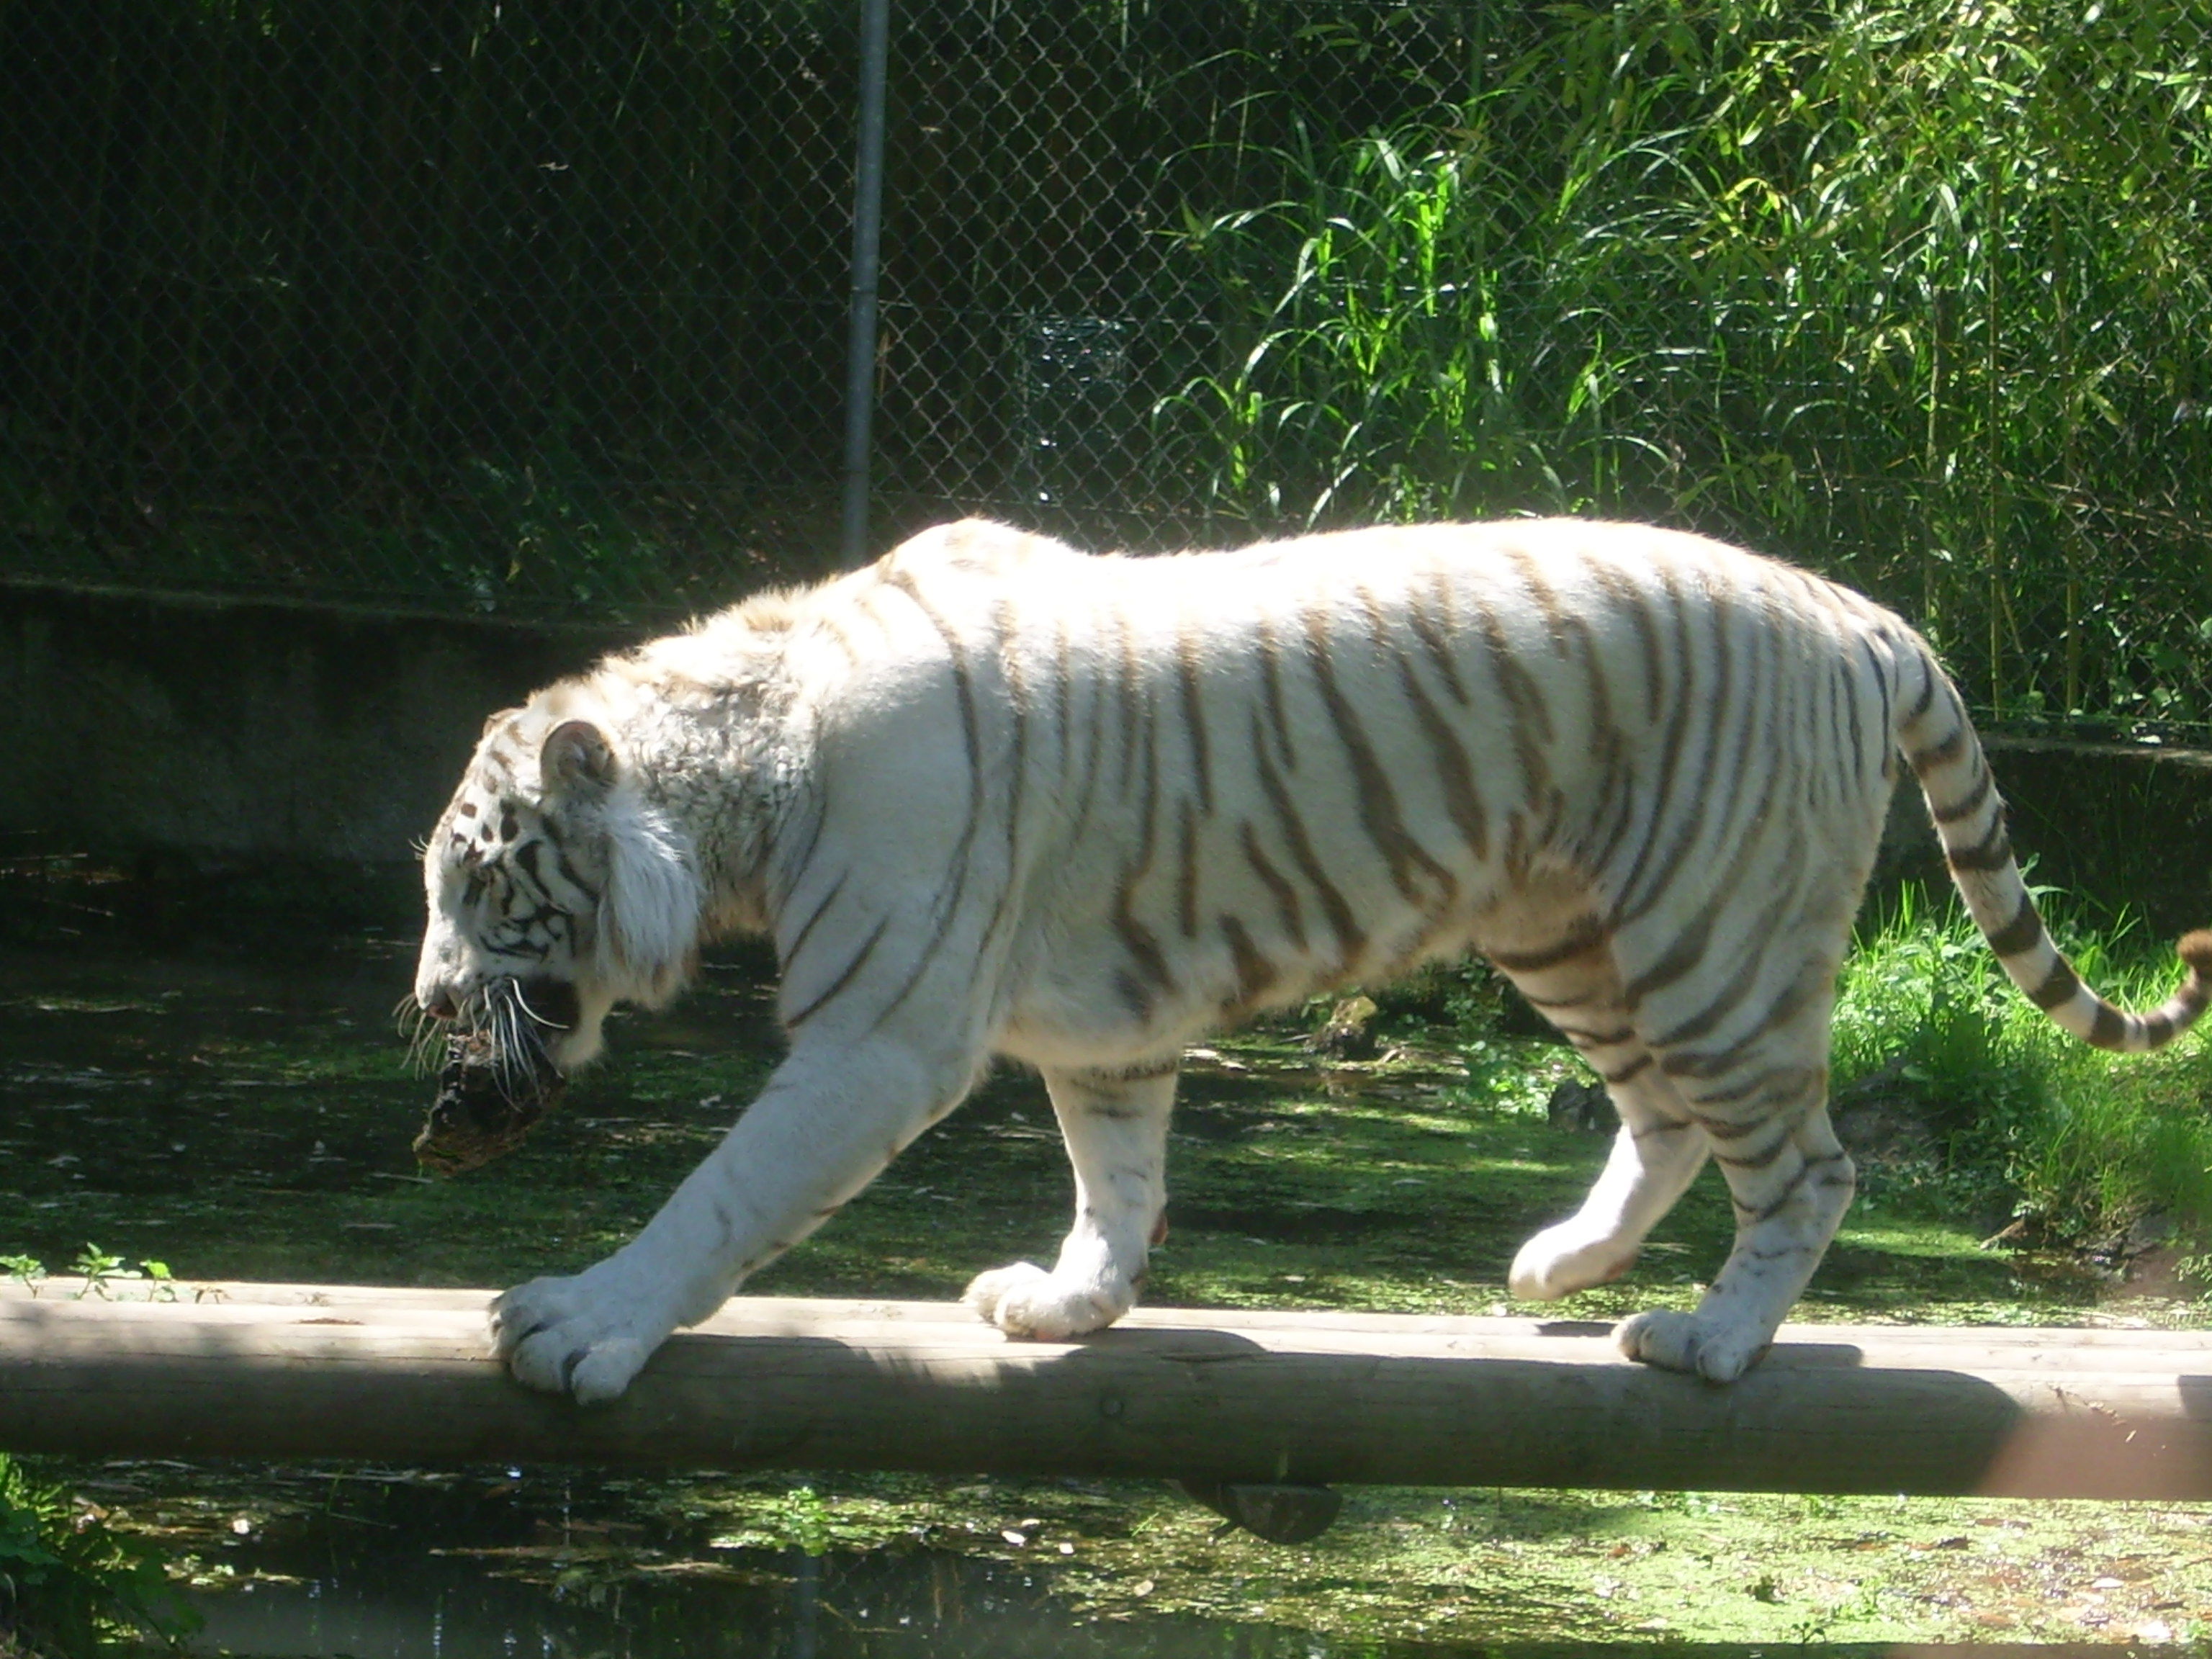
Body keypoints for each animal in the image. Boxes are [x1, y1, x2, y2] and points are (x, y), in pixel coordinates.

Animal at [415, 519, 2212, 1406]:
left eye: (472, 882)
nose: (423, 1004)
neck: (743, 788)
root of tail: (1865, 616)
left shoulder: (880, 1034)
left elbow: (720, 1193)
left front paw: (580, 1324)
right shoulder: (1105, 1024)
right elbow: (1118, 1173)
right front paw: (1071, 1304)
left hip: (1715, 938)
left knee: (1812, 1165)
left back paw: (1708, 1340)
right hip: (1572, 928)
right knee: (1664, 1119)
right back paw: (1560, 1266)